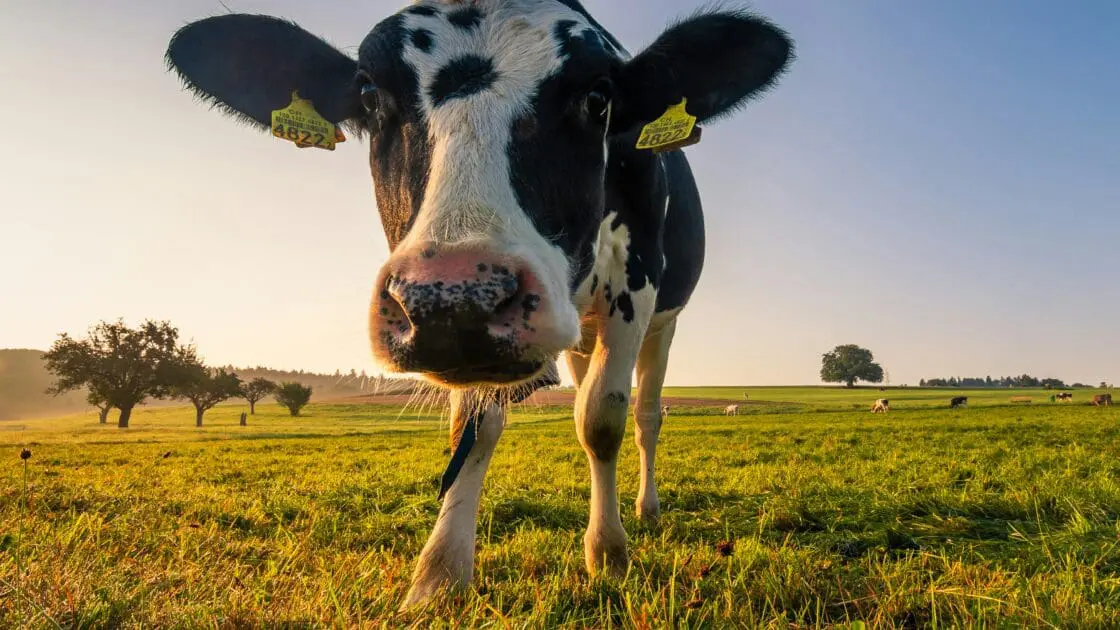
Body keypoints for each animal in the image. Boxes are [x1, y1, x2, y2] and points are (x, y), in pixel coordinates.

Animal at [165, 0, 793, 606]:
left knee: (645, 415)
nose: (453, 298)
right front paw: (440, 574)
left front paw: (608, 554)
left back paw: (646, 507)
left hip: (664, 323)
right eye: (369, 96)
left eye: (598, 99)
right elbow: (473, 428)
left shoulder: (634, 283)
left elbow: (602, 420)